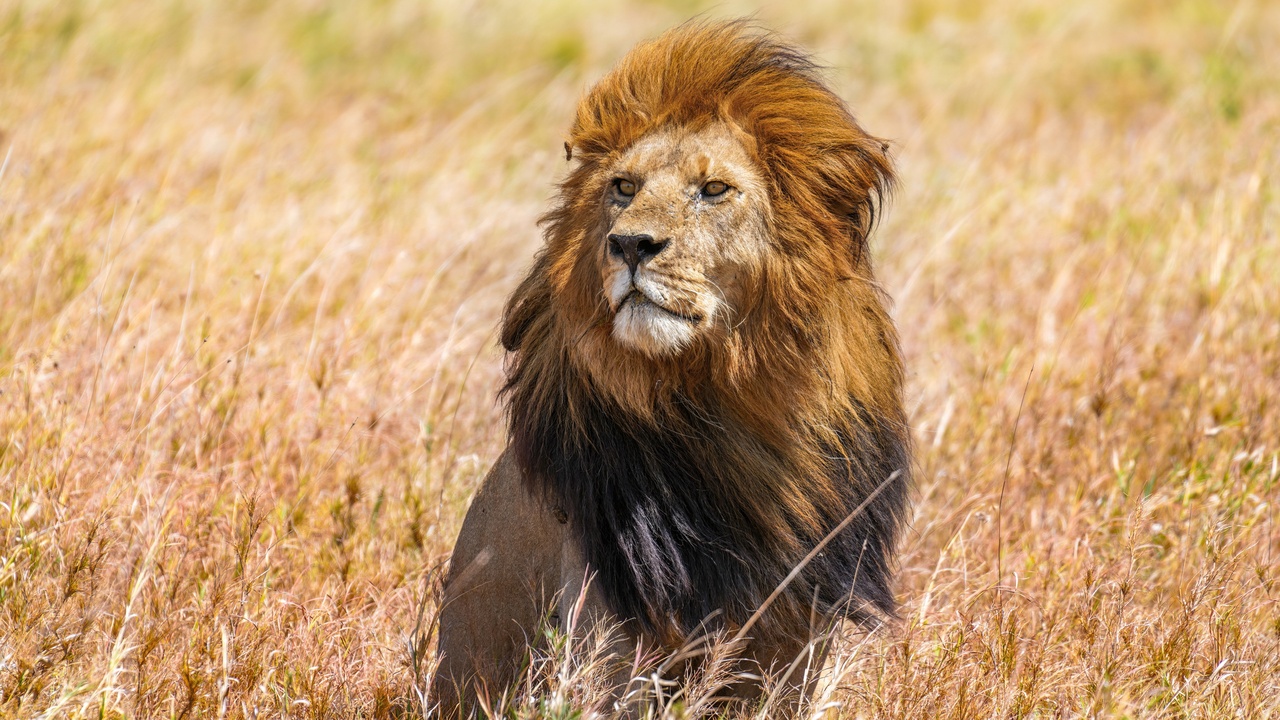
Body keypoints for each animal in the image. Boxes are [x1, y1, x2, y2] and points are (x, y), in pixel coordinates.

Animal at [430, 20, 912, 717]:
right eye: (624, 188)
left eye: (713, 190)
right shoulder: (611, 631)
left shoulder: (795, 638)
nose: (629, 244)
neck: (729, 402)